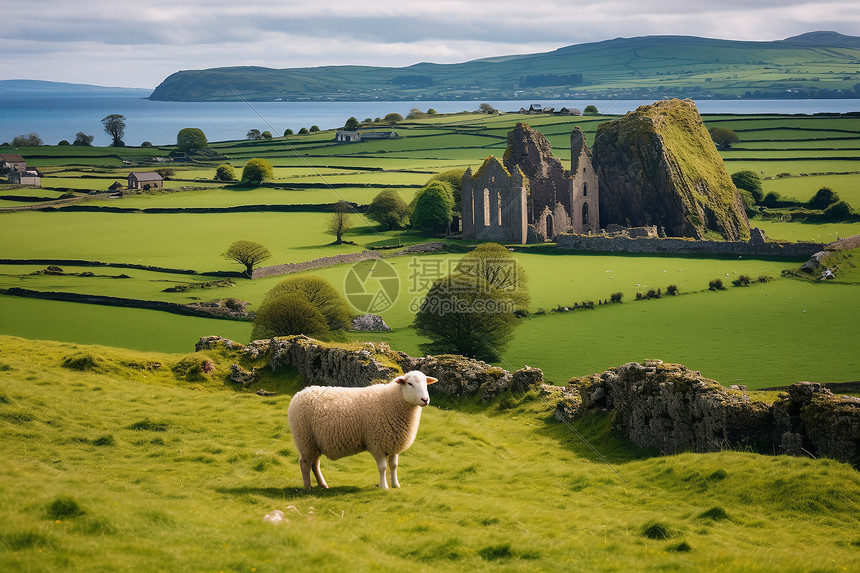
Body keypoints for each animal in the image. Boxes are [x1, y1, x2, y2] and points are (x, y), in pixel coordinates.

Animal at [288, 374, 436, 490]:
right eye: (410, 384)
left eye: (426, 384)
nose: (425, 400)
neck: (393, 401)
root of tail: (299, 393)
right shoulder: (376, 444)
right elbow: (383, 468)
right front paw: (384, 487)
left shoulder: (393, 443)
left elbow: (393, 466)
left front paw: (396, 485)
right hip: (304, 439)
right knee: (305, 464)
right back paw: (308, 487)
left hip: (314, 443)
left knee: (315, 464)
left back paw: (323, 485)